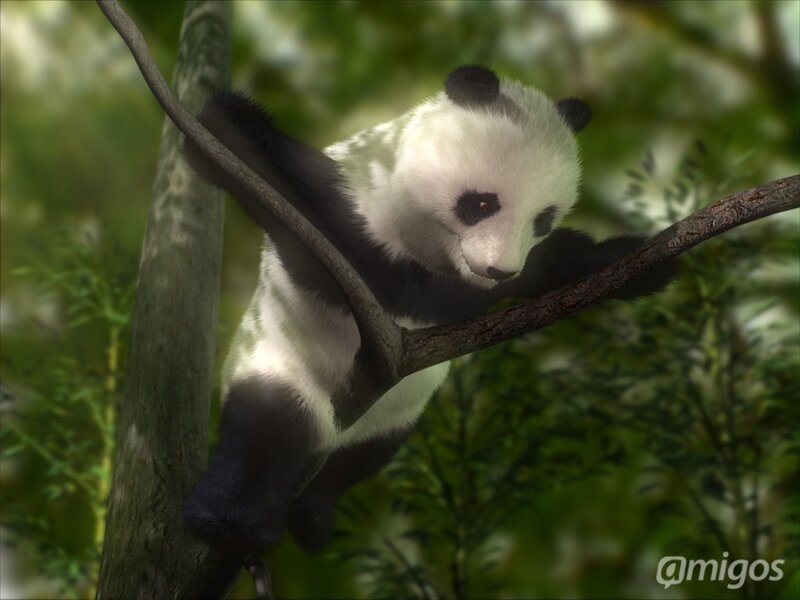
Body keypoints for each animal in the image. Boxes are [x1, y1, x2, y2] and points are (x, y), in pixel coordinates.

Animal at [183, 65, 676, 557]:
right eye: (482, 203)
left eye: (542, 220)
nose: (498, 269)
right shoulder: (357, 191)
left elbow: (552, 263)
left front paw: (643, 263)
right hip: (278, 363)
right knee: (267, 431)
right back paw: (232, 522)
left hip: (394, 418)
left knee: (360, 460)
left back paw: (314, 515)